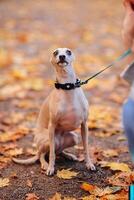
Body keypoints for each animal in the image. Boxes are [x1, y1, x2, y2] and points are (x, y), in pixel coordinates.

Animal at [12, 47, 95, 175]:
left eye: (68, 51)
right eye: (55, 52)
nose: (62, 56)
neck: (68, 87)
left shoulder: (84, 125)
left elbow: (86, 148)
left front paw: (89, 164)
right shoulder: (52, 126)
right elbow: (51, 154)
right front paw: (51, 168)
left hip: (74, 137)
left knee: (57, 151)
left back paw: (68, 155)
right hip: (47, 139)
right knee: (42, 154)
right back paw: (45, 164)